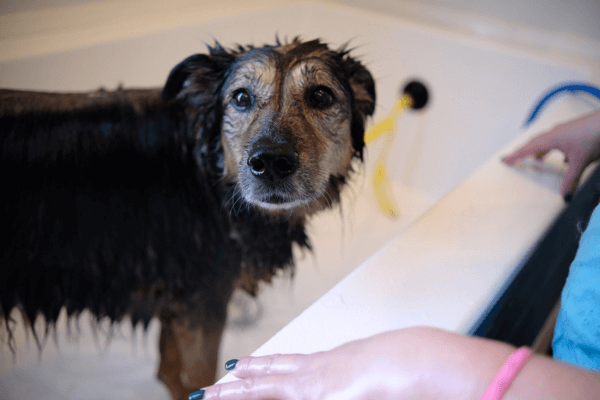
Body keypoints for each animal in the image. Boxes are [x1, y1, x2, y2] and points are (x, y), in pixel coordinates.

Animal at [0, 38, 376, 400]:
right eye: (241, 97)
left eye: (321, 95)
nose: (269, 162)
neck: (207, 175)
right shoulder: (205, 304)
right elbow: (198, 376)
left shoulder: (179, 299)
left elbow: (168, 371)